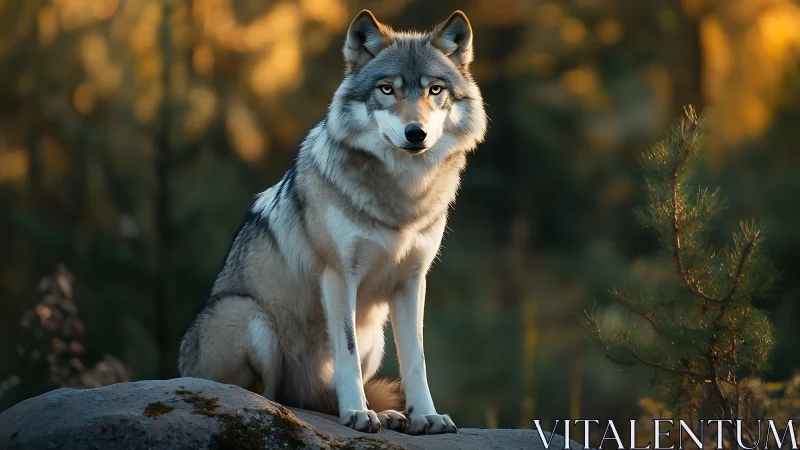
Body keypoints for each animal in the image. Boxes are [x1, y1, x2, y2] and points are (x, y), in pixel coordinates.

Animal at [178, 9, 487, 435]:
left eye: (435, 90)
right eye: (387, 90)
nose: (416, 133)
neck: (401, 198)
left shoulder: (412, 281)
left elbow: (417, 361)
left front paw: (425, 416)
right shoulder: (339, 274)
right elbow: (347, 355)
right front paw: (357, 412)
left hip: (375, 335)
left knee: (315, 398)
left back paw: (386, 415)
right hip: (250, 317)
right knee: (269, 394)